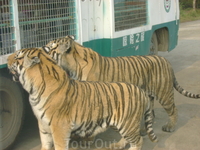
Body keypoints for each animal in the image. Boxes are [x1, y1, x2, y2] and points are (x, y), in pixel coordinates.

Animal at [7, 47, 158, 150]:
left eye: (17, 57)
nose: (6, 59)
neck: (33, 91)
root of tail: (142, 91)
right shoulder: (43, 126)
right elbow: (45, 145)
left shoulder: (59, 127)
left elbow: (59, 146)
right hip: (119, 124)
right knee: (128, 139)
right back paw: (117, 145)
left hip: (128, 124)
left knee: (138, 141)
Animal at [43, 35, 200, 134]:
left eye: (51, 47)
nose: (42, 48)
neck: (71, 66)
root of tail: (165, 60)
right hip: (148, 95)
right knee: (151, 114)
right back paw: (143, 130)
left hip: (164, 93)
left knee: (173, 110)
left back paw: (170, 127)